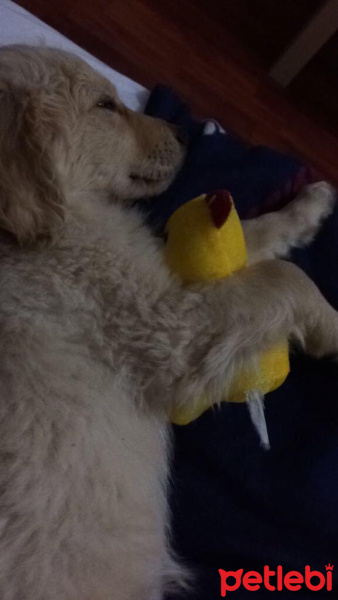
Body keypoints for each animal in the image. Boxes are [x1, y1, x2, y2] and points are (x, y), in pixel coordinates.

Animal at [0, 43, 336, 600]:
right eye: (105, 106)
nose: (185, 131)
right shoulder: (165, 326)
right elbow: (282, 277)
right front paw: (331, 325)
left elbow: (255, 237)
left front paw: (309, 205)